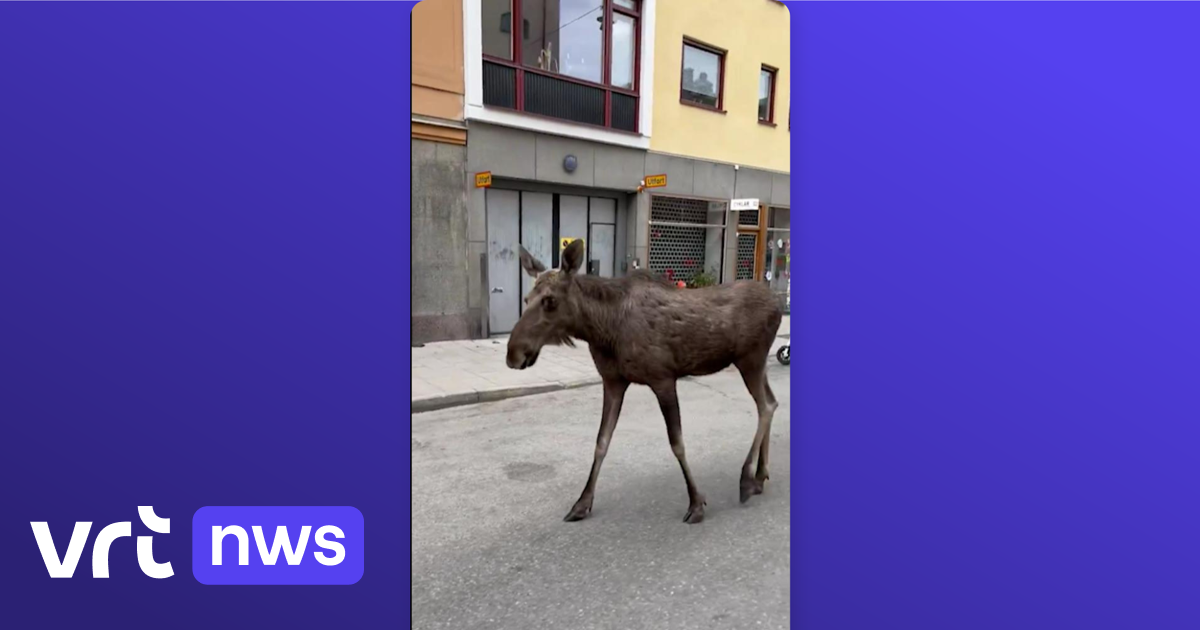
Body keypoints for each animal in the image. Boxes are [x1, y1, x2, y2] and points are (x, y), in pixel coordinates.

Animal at [504, 238, 777, 523]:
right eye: (526, 298)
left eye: (550, 300)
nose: (513, 354)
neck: (603, 331)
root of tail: (779, 302)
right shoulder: (613, 381)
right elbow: (601, 442)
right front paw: (581, 503)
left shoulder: (663, 378)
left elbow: (677, 443)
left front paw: (696, 502)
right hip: (756, 364)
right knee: (770, 402)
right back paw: (760, 476)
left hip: (750, 359)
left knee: (765, 406)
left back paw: (747, 480)